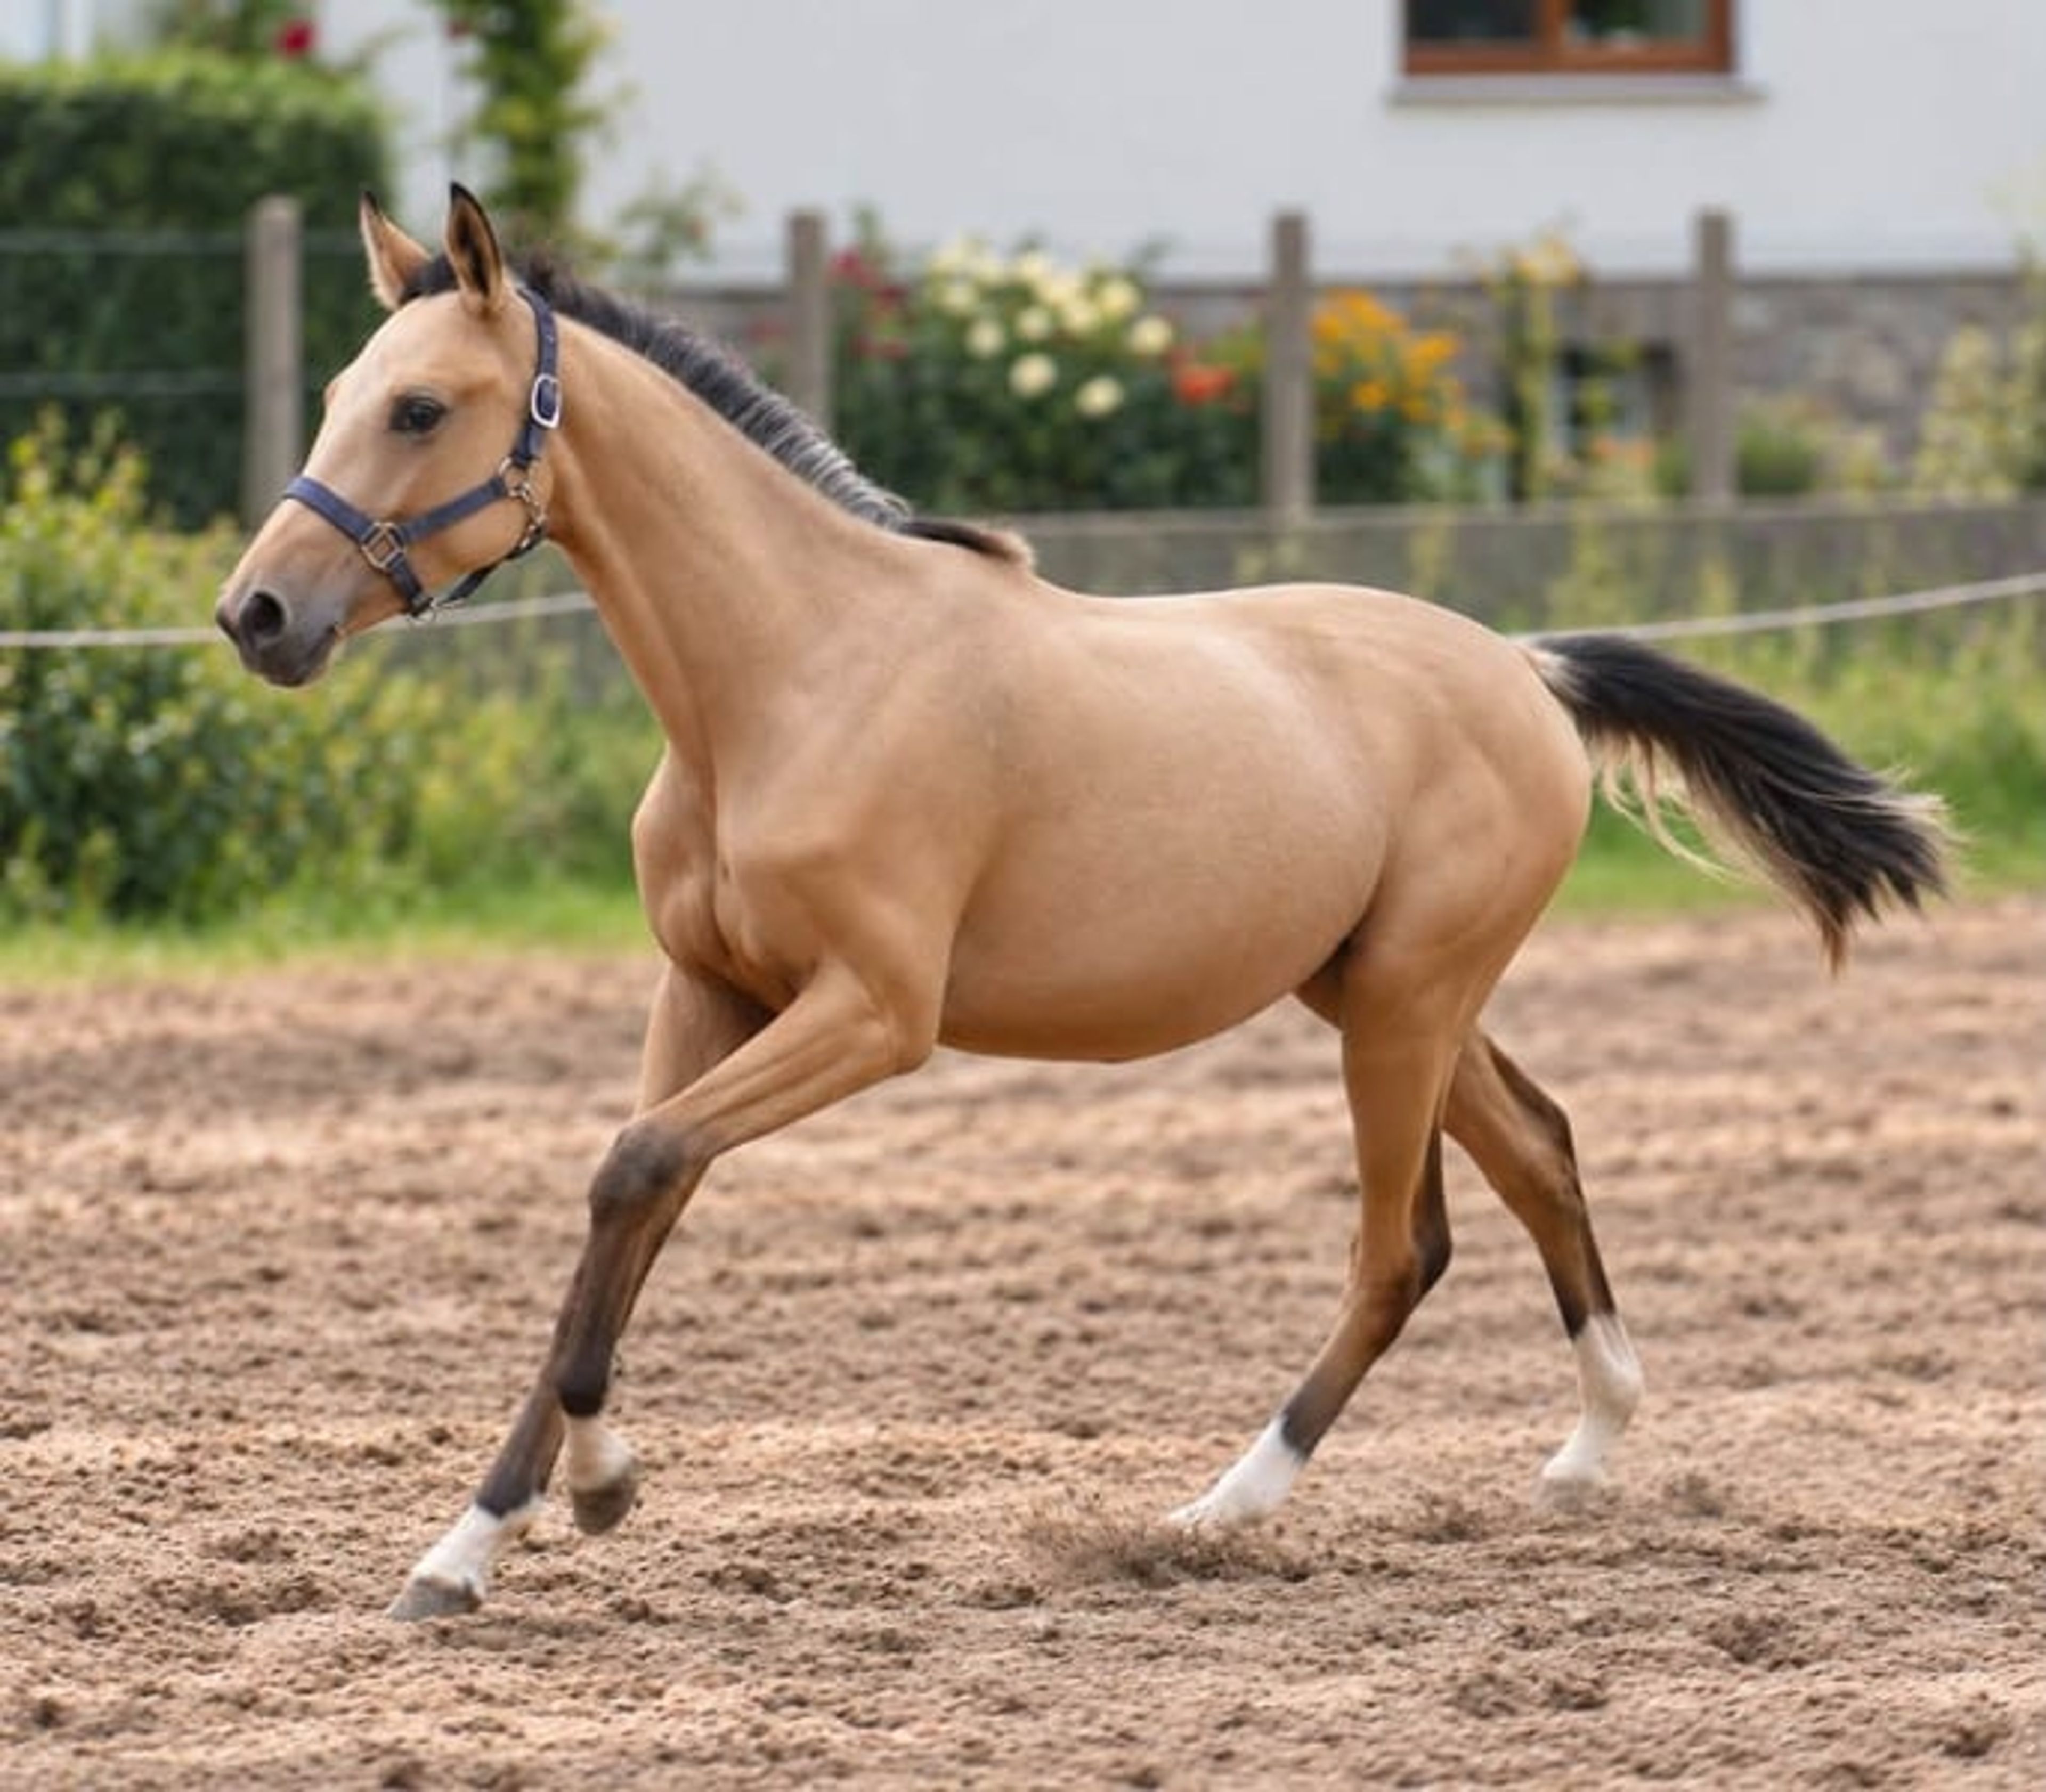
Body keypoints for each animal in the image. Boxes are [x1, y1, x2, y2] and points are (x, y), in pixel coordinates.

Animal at [217, 187, 1947, 1620]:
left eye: (420, 406)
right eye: (339, 396)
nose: (257, 613)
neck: (792, 673)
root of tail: (1525, 671)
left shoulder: (873, 1014)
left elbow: (635, 1167)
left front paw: (597, 1487)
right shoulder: (704, 992)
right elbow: (633, 1199)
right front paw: (470, 1545)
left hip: (1399, 1004)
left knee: (1401, 1248)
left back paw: (1215, 1509)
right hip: (1379, 989)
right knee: (1539, 1148)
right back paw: (1587, 1448)